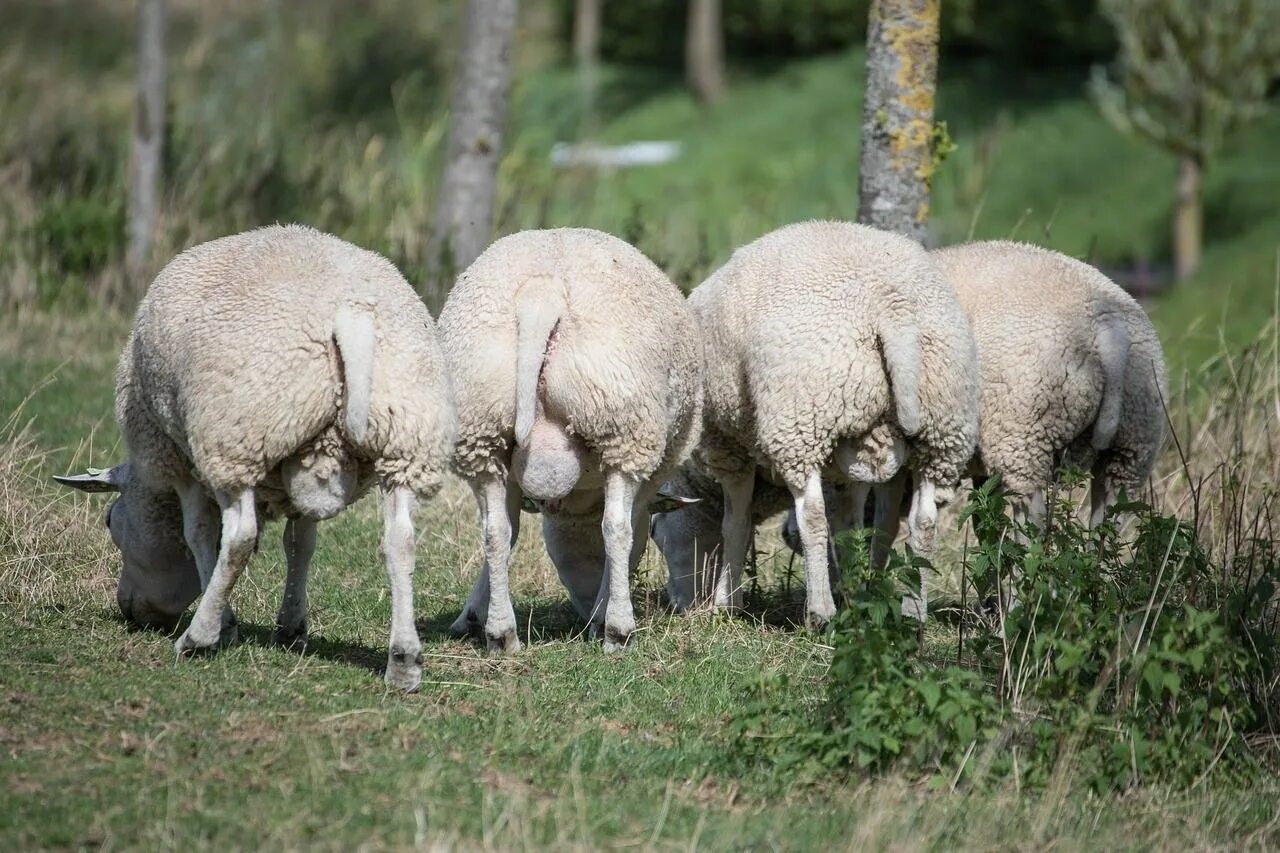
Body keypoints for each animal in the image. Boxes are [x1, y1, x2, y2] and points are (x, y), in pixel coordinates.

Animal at [53, 225, 455, 691]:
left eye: (110, 522)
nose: (130, 610)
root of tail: (349, 316)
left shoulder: (180, 460)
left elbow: (200, 535)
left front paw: (223, 622)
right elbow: (301, 544)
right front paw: (292, 625)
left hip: (236, 436)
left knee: (240, 535)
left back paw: (198, 637)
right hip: (406, 437)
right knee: (400, 541)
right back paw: (403, 662)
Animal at [437, 225, 701, 650]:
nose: (587, 607)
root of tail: (541, 293)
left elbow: (509, 532)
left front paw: (473, 615)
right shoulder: (653, 472)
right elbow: (625, 533)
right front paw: (605, 617)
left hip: (481, 429)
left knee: (494, 532)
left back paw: (502, 634)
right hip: (623, 427)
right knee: (616, 528)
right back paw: (617, 630)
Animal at [660, 222, 977, 627]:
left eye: (655, 533)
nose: (679, 606)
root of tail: (893, 307)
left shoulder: (729, 449)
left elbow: (736, 524)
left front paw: (726, 605)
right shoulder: (851, 463)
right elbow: (851, 524)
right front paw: (855, 593)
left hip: (802, 418)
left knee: (811, 516)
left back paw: (819, 613)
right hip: (943, 426)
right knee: (924, 522)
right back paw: (912, 614)